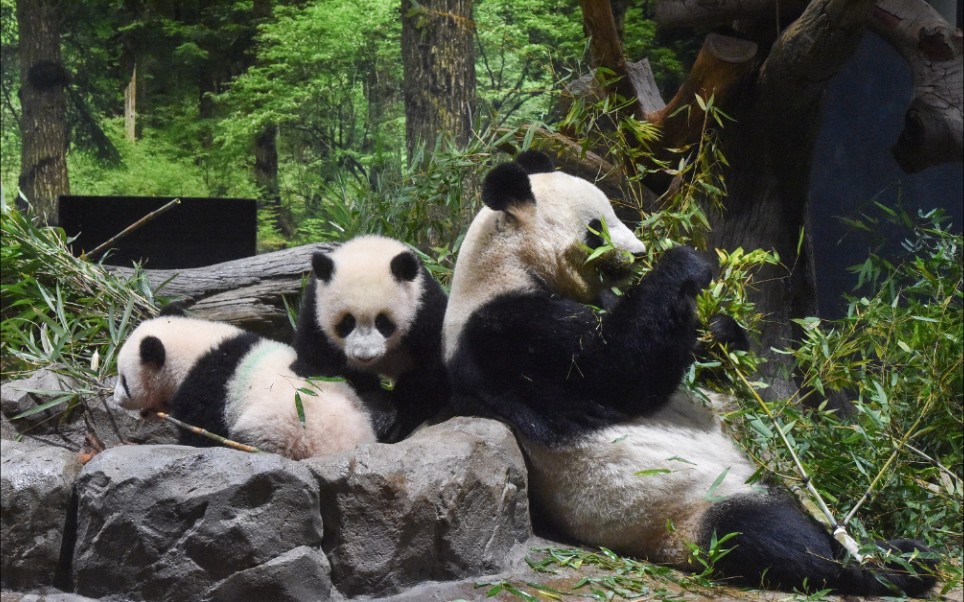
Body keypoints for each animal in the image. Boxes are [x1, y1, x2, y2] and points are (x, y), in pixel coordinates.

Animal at [292, 234, 450, 440]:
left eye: (382, 322)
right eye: (347, 322)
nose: (364, 356)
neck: (369, 250)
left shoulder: (424, 310)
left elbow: (430, 377)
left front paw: (392, 421)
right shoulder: (314, 313)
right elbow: (317, 367)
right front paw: (377, 410)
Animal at [442, 151, 932, 596]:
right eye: (597, 226)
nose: (639, 252)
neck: (508, 265)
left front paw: (718, 331)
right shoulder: (507, 332)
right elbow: (615, 369)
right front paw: (682, 262)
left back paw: (902, 553)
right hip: (684, 512)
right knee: (765, 534)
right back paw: (878, 571)